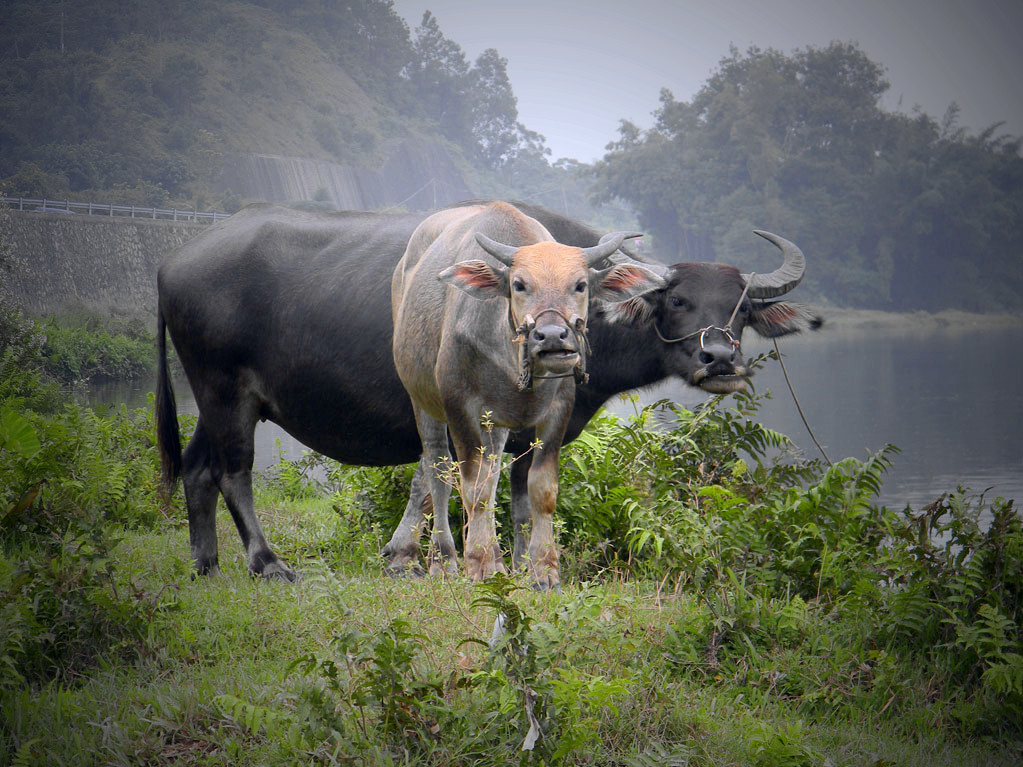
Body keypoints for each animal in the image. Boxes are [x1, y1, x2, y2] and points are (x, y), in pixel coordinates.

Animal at [155, 201, 818, 580]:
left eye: (742, 309)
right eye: (677, 301)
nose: (720, 357)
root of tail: (172, 264)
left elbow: (519, 492)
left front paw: (524, 564)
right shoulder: (461, 409)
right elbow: (447, 479)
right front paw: (418, 557)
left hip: (216, 400)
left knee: (197, 468)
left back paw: (205, 563)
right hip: (224, 392)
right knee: (234, 473)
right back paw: (267, 563)